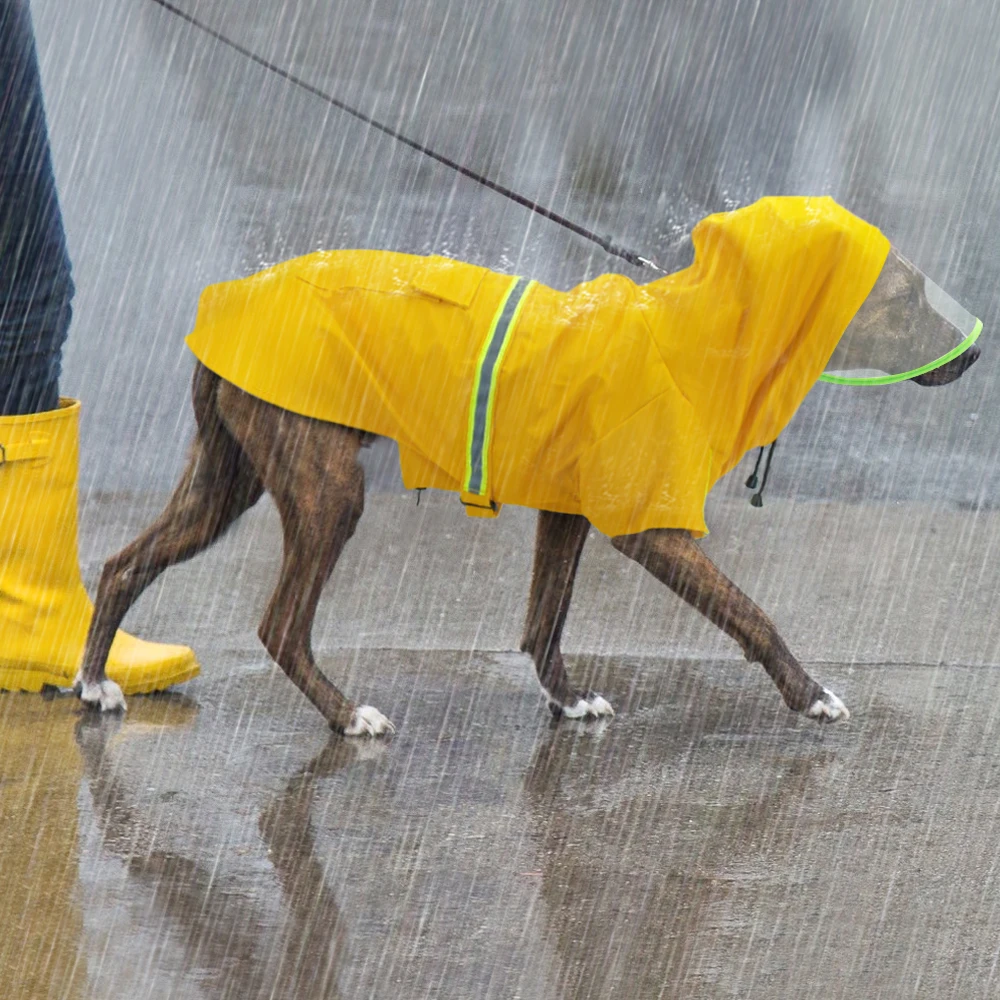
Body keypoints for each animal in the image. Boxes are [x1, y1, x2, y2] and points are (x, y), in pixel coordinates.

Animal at [74, 205, 980, 736]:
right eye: (903, 301)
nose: (975, 356)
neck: (698, 336)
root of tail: (225, 302)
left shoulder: (566, 512)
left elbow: (545, 620)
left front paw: (568, 699)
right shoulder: (649, 527)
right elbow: (752, 616)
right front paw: (810, 694)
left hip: (224, 483)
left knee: (122, 565)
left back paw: (92, 683)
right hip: (328, 489)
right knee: (279, 624)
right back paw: (345, 714)